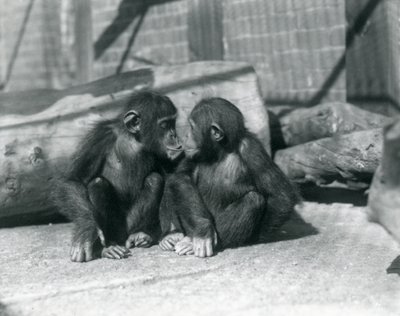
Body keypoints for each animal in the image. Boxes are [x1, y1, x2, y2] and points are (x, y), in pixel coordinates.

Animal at [53, 90, 183, 262]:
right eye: (164, 125)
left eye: (173, 123)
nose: (174, 135)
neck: (133, 139)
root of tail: (124, 236)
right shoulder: (99, 136)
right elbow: (73, 179)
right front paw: (86, 232)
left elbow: (169, 178)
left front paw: (170, 234)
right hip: (116, 228)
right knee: (98, 184)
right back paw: (108, 248)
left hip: (131, 223)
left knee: (154, 180)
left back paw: (142, 234)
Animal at [159, 98, 300, 256]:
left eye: (192, 127)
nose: (185, 136)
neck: (221, 151)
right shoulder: (191, 154)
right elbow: (182, 176)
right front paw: (202, 231)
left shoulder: (253, 150)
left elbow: (282, 196)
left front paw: (255, 236)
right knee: (174, 183)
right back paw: (172, 234)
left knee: (253, 199)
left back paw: (191, 242)